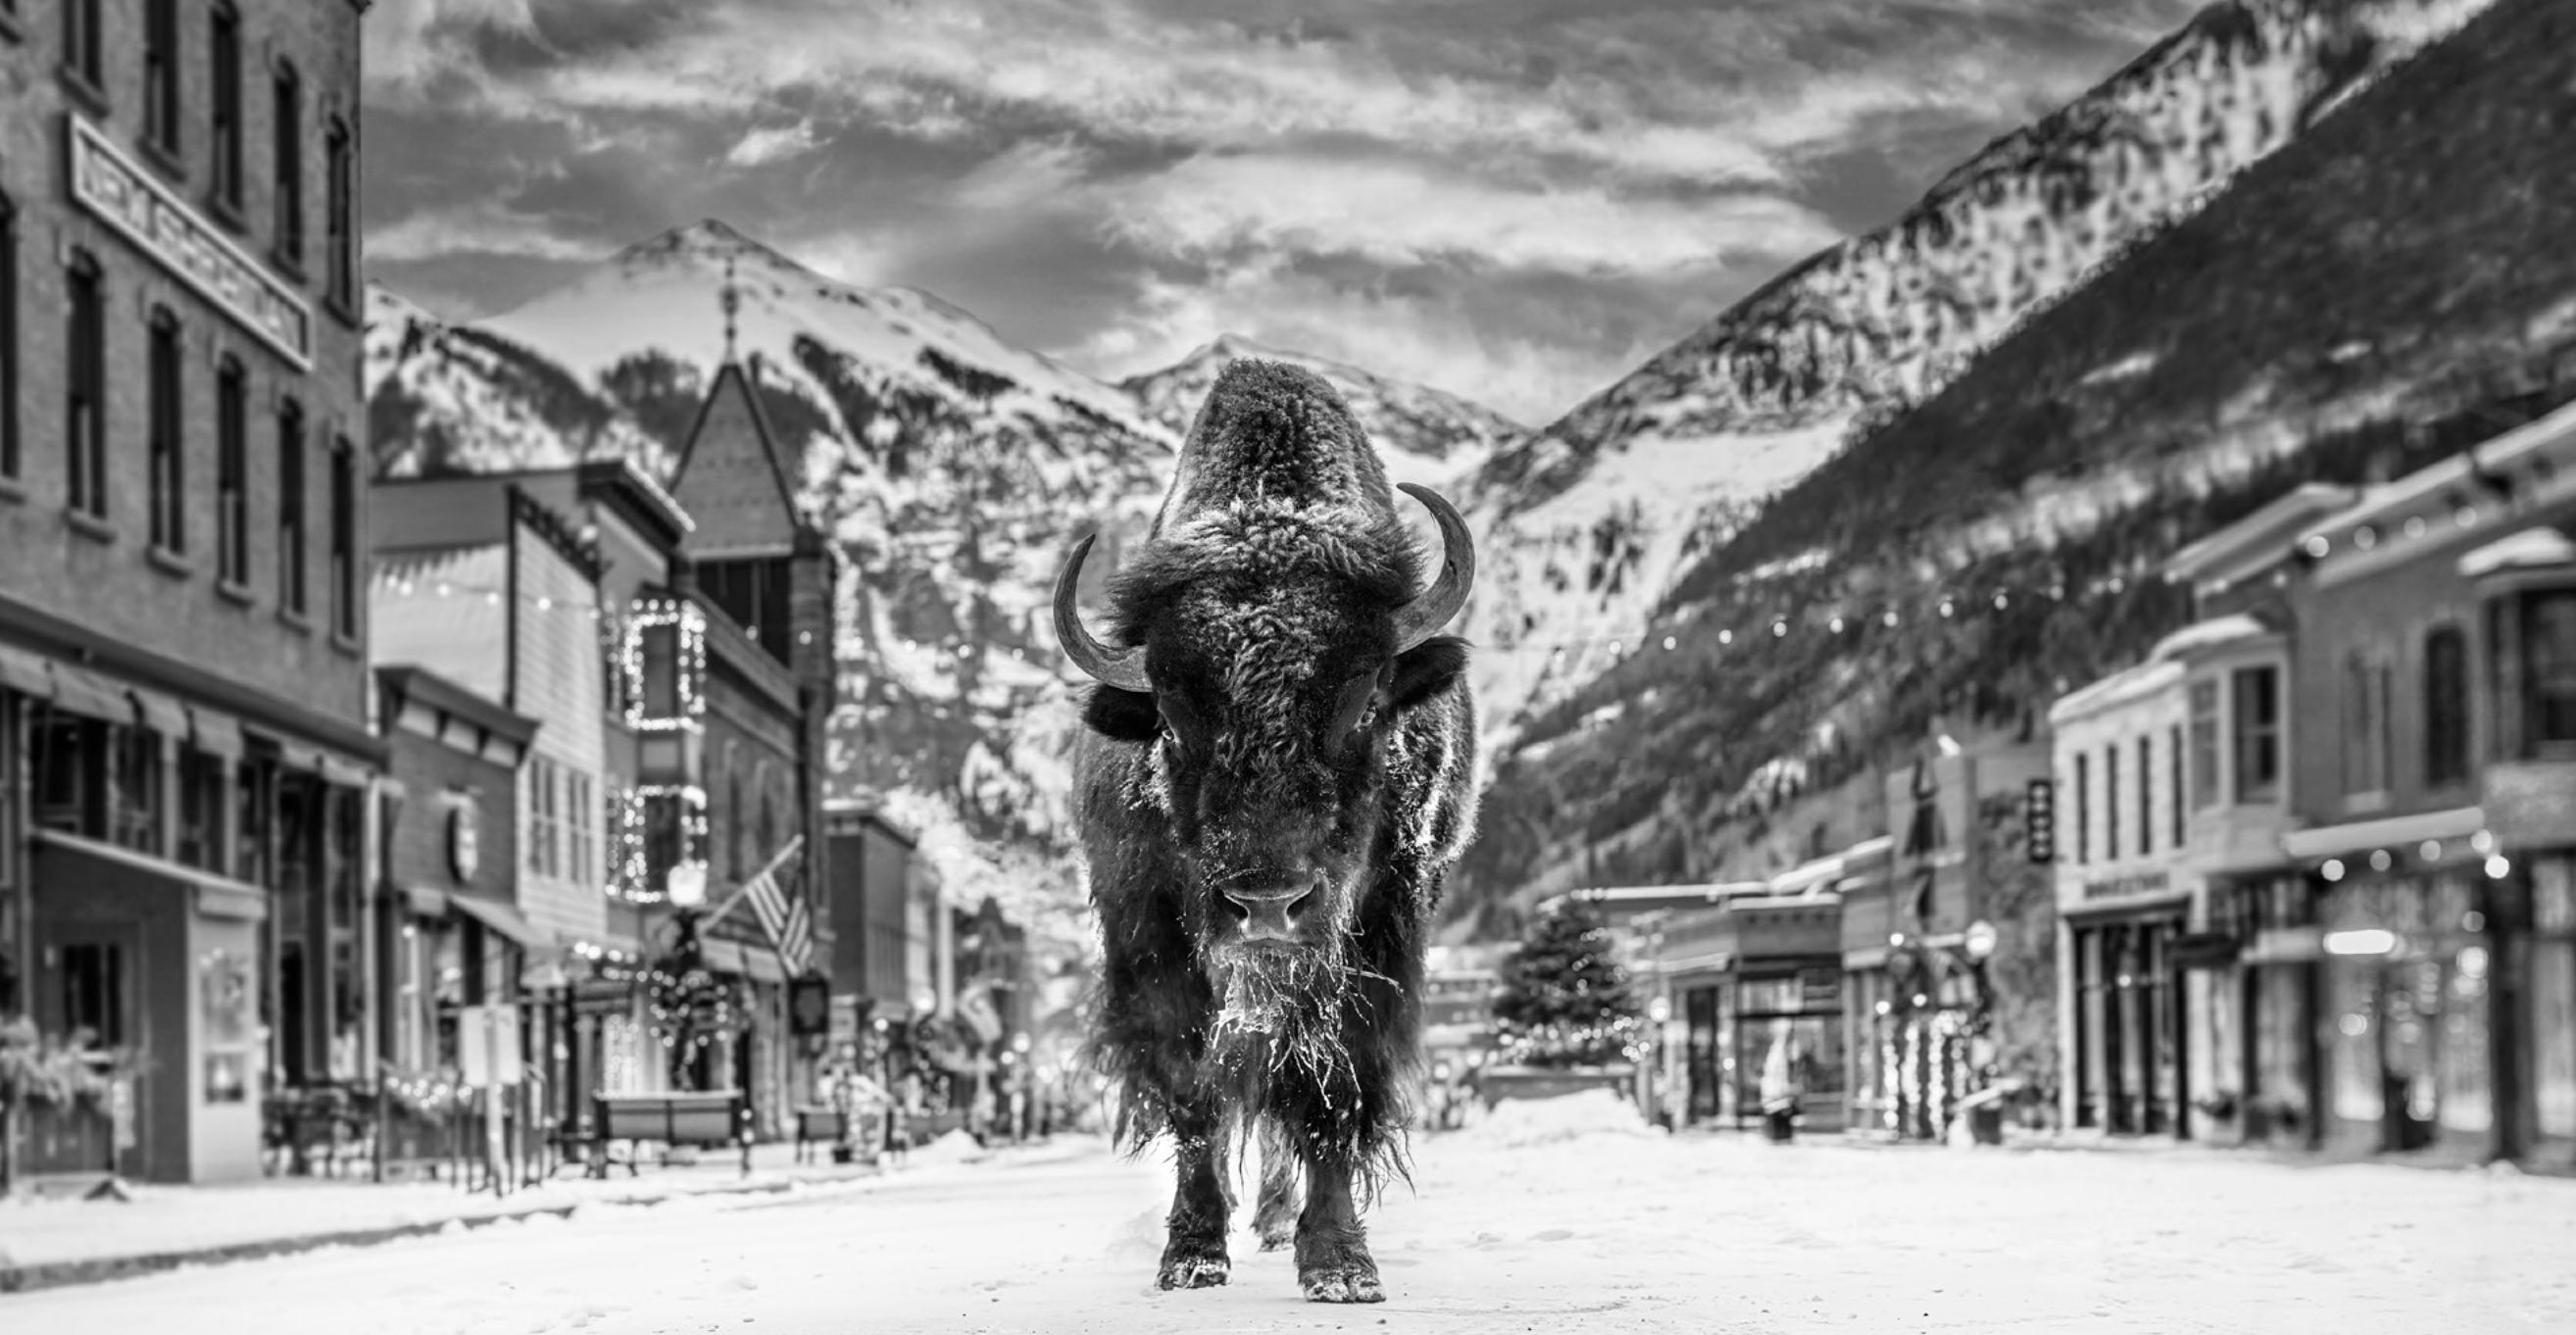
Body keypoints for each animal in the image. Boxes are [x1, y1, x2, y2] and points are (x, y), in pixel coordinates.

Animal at [1056, 361, 1483, 1304]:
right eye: (1173, 718)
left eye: (1366, 700)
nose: (1266, 906)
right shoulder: (1152, 941)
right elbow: (1194, 1092)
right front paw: (1190, 1254)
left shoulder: (1374, 939)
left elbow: (1330, 1091)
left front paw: (1340, 1264)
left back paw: (1286, 1221)